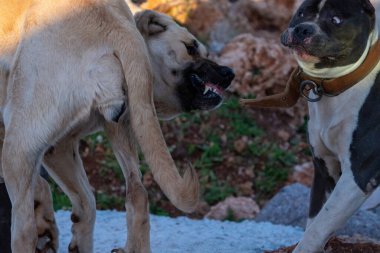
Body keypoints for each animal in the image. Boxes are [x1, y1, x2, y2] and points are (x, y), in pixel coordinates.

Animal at [0, 0, 235, 252]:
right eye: (190, 48)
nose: (230, 73)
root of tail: (114, 23)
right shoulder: (60, 147)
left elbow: (41, 186)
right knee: (133, 193)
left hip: (19, 146)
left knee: (26, 229)